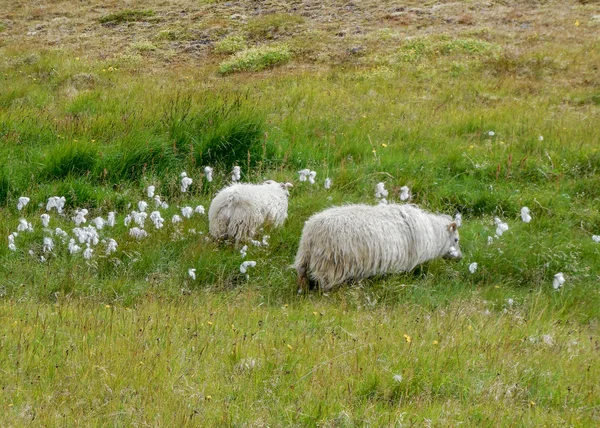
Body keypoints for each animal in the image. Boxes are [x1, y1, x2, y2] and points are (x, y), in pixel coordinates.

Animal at [296, 203, 464, 290]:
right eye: (456, 240)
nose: (460, 258)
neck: (432, 234)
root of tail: (312, 232)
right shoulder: (403, 263)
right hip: (331, 264)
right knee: (325, 284)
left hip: (304, 257)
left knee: (302, 273)